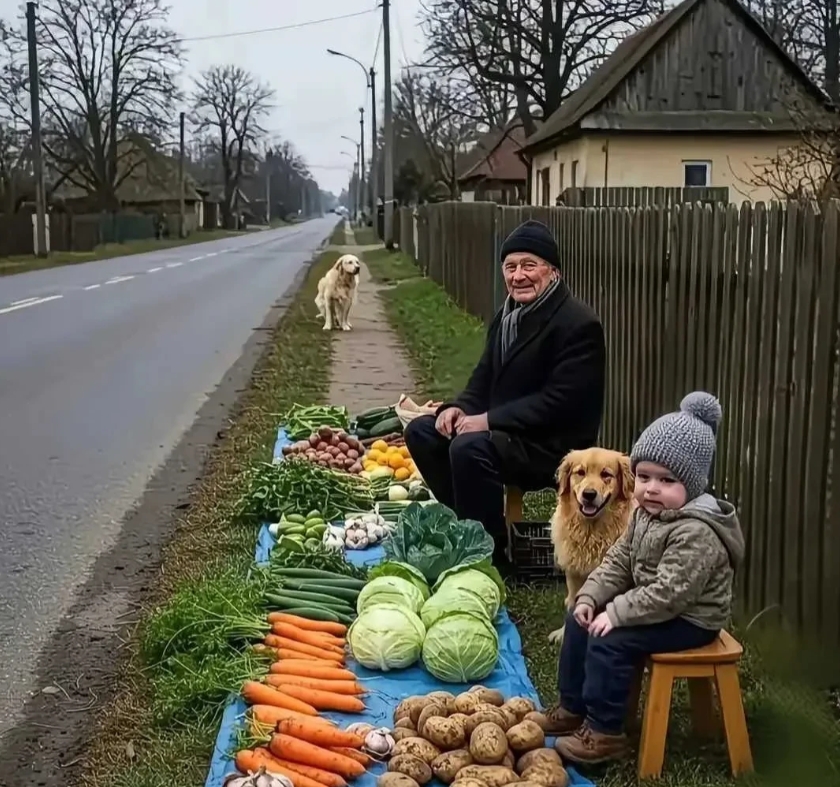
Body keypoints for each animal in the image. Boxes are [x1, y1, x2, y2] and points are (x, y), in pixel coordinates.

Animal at [548, 450, 632, 648]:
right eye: (580, 472)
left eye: (606, 474)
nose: (589, 494)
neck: (592, 531)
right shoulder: (574, 575)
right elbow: (573, 605)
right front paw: (563, 634)